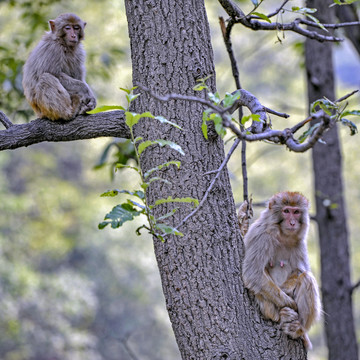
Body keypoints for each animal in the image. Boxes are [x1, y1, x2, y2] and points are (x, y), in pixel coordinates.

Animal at [242, 193, 320, 350]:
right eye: (286, 211)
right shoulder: (262, 237)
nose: (292, 222)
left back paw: (299, 329)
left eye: (296, 212)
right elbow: (253, 273)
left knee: (306, 277)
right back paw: (285, 315)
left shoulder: (299, 243)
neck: (282, 235)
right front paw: (290, 303)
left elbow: (301, 270)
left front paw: (288, 288)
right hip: (268, 307)